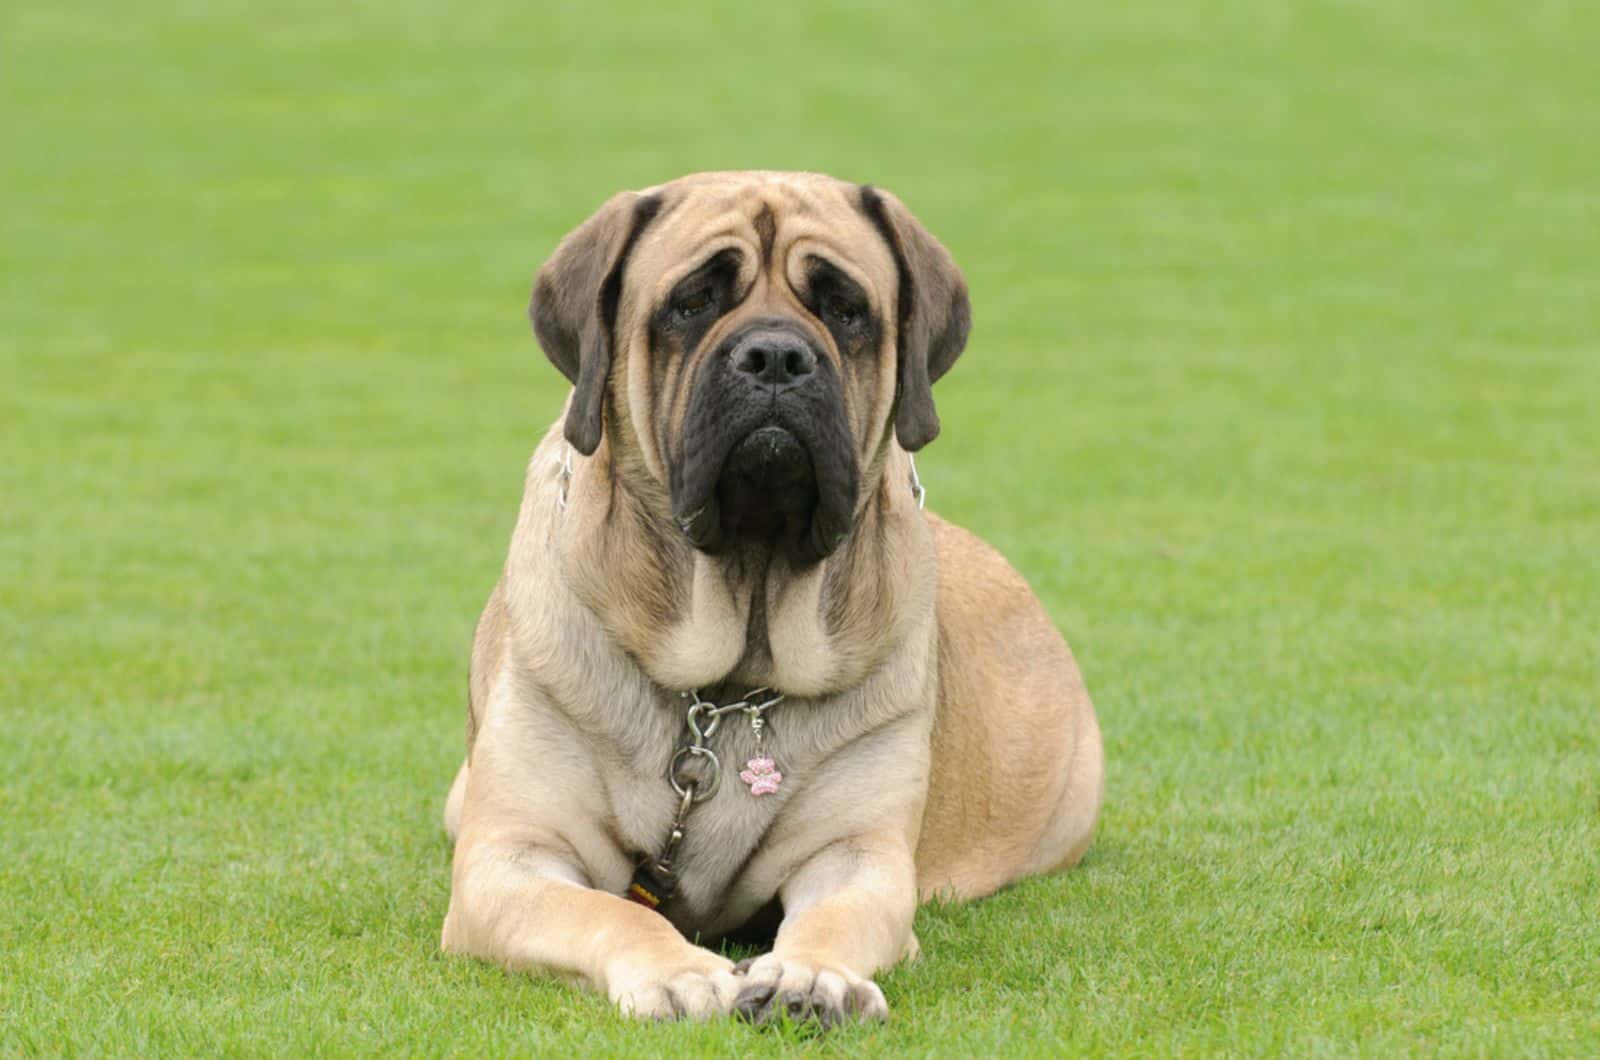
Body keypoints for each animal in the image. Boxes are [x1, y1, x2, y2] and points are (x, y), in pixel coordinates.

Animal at [444, 170, 1107, 1024]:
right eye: (692, 301)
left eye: (846, 308)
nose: (776, 356)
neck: (730, 679)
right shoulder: (507, 860)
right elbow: (610, 910)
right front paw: (677, 970)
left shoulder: (858, 855)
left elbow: (835, 916)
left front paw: (810, 976)